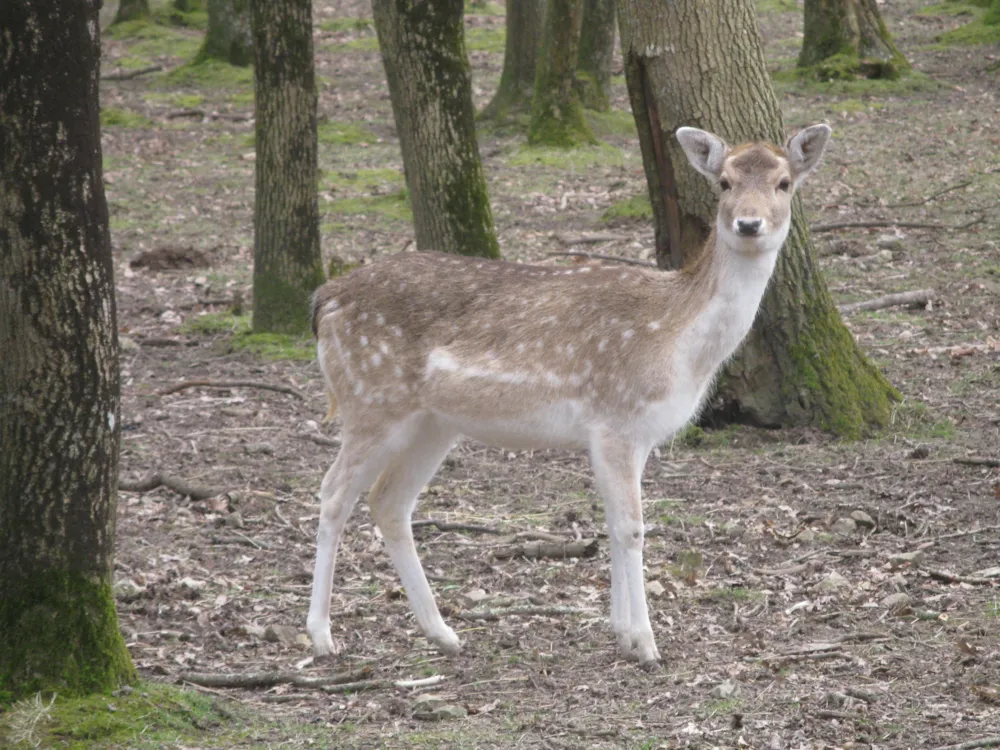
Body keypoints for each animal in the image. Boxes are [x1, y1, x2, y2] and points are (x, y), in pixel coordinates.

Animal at [306, 123, 836, 668]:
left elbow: (614, 523)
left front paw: (622, 633)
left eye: (784, 183)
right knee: (332, 493)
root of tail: (324, 300)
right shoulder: (615, 420)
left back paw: (443, 632)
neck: (678, 345)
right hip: (370, 400)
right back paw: (322, 636)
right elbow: (632, 527)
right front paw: (647, 644)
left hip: (432, 423)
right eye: (725, 182)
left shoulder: (630, 435)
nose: (749, 224)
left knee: (388, 501)